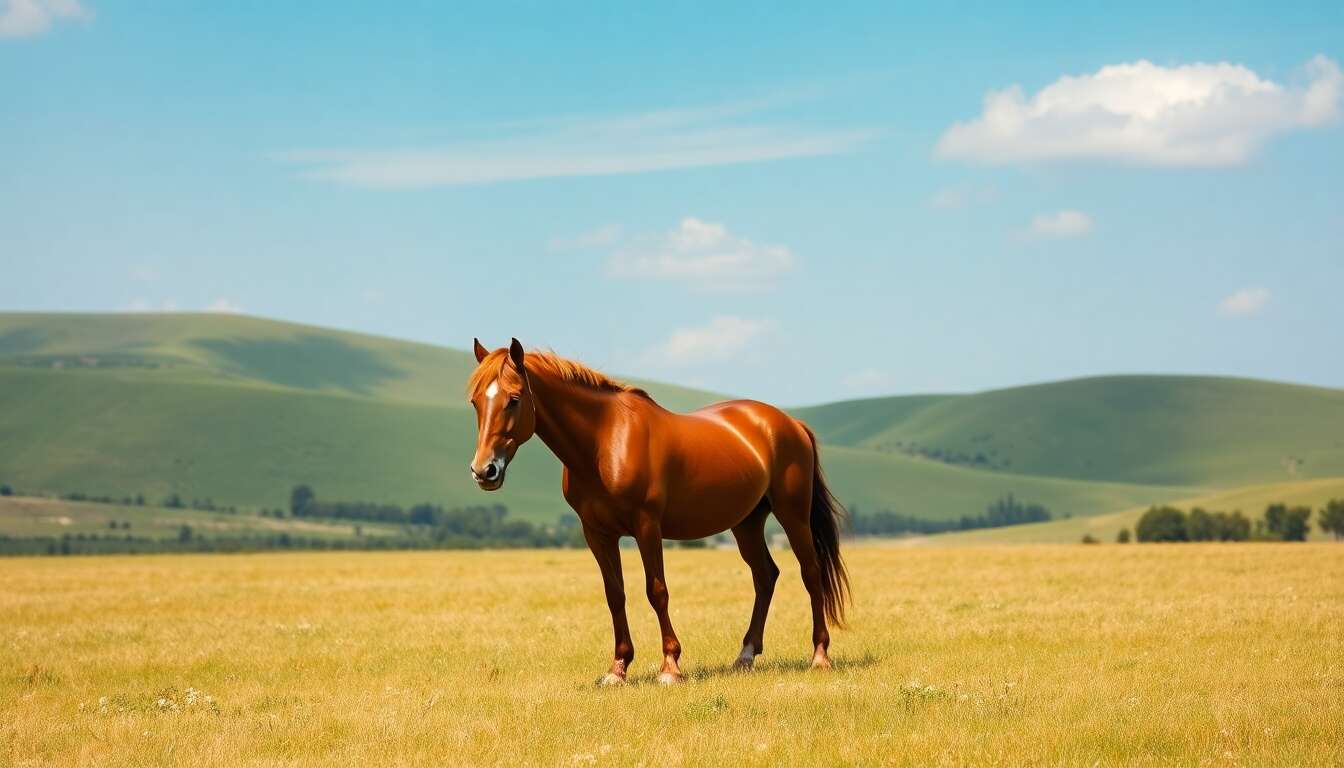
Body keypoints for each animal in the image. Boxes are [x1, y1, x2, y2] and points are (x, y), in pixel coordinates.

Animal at [466, 338, 849, 684]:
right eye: (475, 402)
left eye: (514, 400)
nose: (484, 471)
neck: (605, 442)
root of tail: (790, 423)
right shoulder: (597, 533)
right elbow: (615, 594)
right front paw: (617, 669)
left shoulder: (647, 525)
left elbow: (657, 591)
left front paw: (670, 666)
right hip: (747, 522)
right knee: (765, 575)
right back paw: (745, 655)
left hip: (792, 514)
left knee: (810, 572)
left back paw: (819, 655)